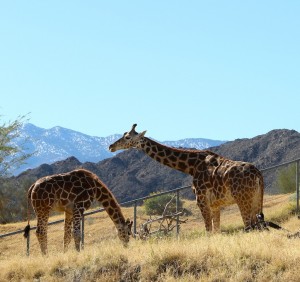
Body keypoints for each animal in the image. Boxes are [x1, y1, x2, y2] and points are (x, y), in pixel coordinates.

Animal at [109, 124, 264, 232]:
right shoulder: (215, 204)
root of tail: (258, 174)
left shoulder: (201, 200)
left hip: (243, 199)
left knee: (249, 227)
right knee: (259, 227)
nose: (111, 146)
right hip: (256, 199)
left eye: (127, 137)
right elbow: (216, 231)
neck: (191, 166)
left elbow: (208, 231)